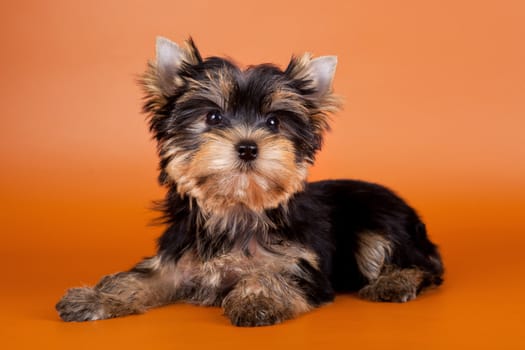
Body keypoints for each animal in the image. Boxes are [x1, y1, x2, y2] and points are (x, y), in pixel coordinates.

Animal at [56, 37, 442, 326]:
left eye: (273, 122)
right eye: (213, 117)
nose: (247, 146)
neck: (237, 208)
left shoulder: (302, 266)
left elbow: (272, 274)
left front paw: (258, 298)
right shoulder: (176, 262)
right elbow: (139, 278)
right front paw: (97, 297)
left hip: (380, 221)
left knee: (421, 265)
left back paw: (393, 281)